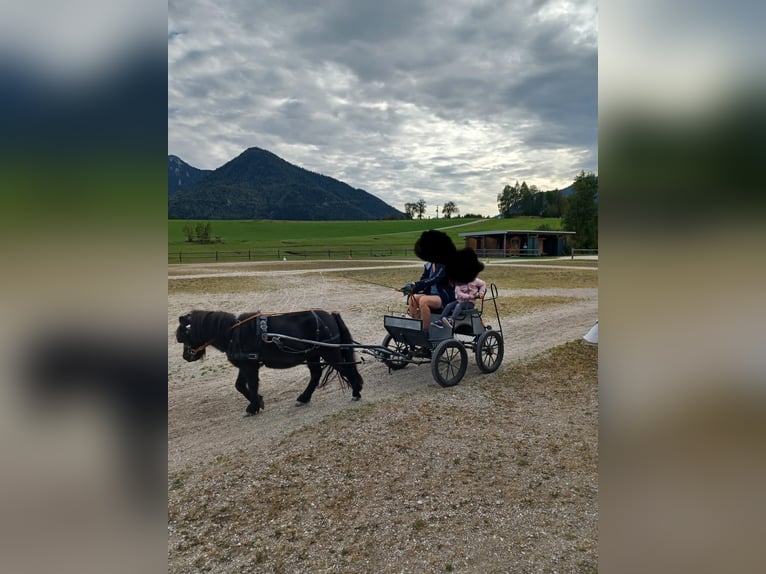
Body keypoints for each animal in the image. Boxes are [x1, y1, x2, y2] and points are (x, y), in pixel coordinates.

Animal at [176, 312, 364, 416]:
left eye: (184, 336)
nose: (186, 356)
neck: (233, 333)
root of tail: (330, 315)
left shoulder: (250, 366)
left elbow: (252, 385)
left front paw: (252, 407)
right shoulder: (247, 363)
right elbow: (240, 385)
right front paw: (258, 402)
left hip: (329, 352)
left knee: (347, 369)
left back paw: (356, 391)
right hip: (313, 354)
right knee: (316, 374)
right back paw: (303, 398)